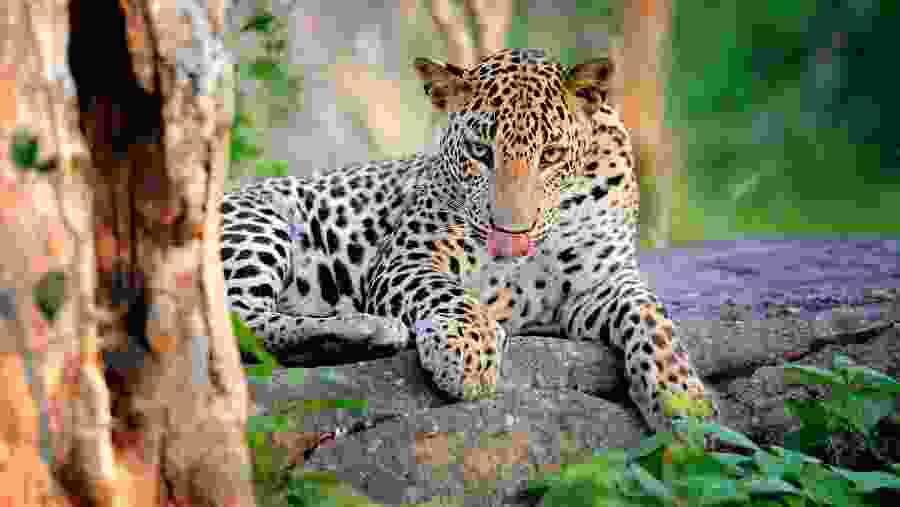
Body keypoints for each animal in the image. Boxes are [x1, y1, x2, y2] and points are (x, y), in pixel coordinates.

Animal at [220, 48, 719, 433]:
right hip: (259, 220)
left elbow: (653, 318)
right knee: (239, 323)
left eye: (551, 155)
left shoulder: (603, 282)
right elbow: (452, 294)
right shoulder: (408, 259)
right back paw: (367, 328)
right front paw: (468, 353)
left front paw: (686, 403)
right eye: (481, 151)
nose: (511, 233)